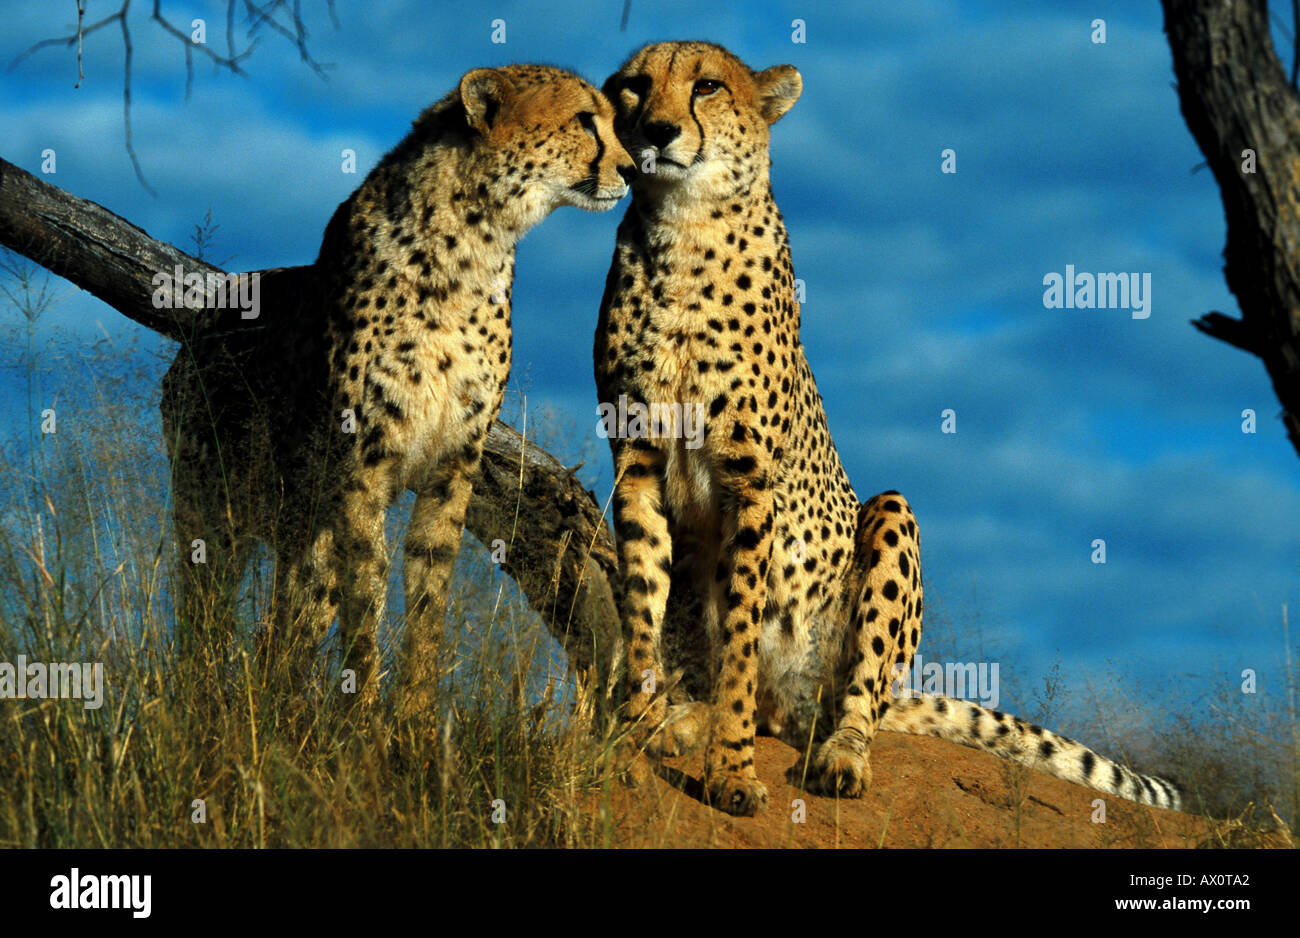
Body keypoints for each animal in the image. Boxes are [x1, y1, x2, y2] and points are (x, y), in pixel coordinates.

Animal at [163, 63, 634, 706]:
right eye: (585, 121)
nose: (632, 169)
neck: (473, 242)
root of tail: (200, 324)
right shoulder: (363, 458)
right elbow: (367, 590)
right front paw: (364, 713)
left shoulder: (454, 459)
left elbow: (428, 590)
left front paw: (413, 715)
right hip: (213, 508)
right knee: (204, 616)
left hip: (298, 526)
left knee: (287, 629)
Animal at [595, 40, 1185, 810]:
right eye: (635, 87)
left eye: (708, 87)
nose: (659, 131)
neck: (683, 230)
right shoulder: (634, 464)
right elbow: (644, 606)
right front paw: (638, 726)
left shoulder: (750, 481)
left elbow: (743, 634)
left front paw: (731, 771)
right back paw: (685, 716)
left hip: (887, 530)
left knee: (855, 697)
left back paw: (840, 755)